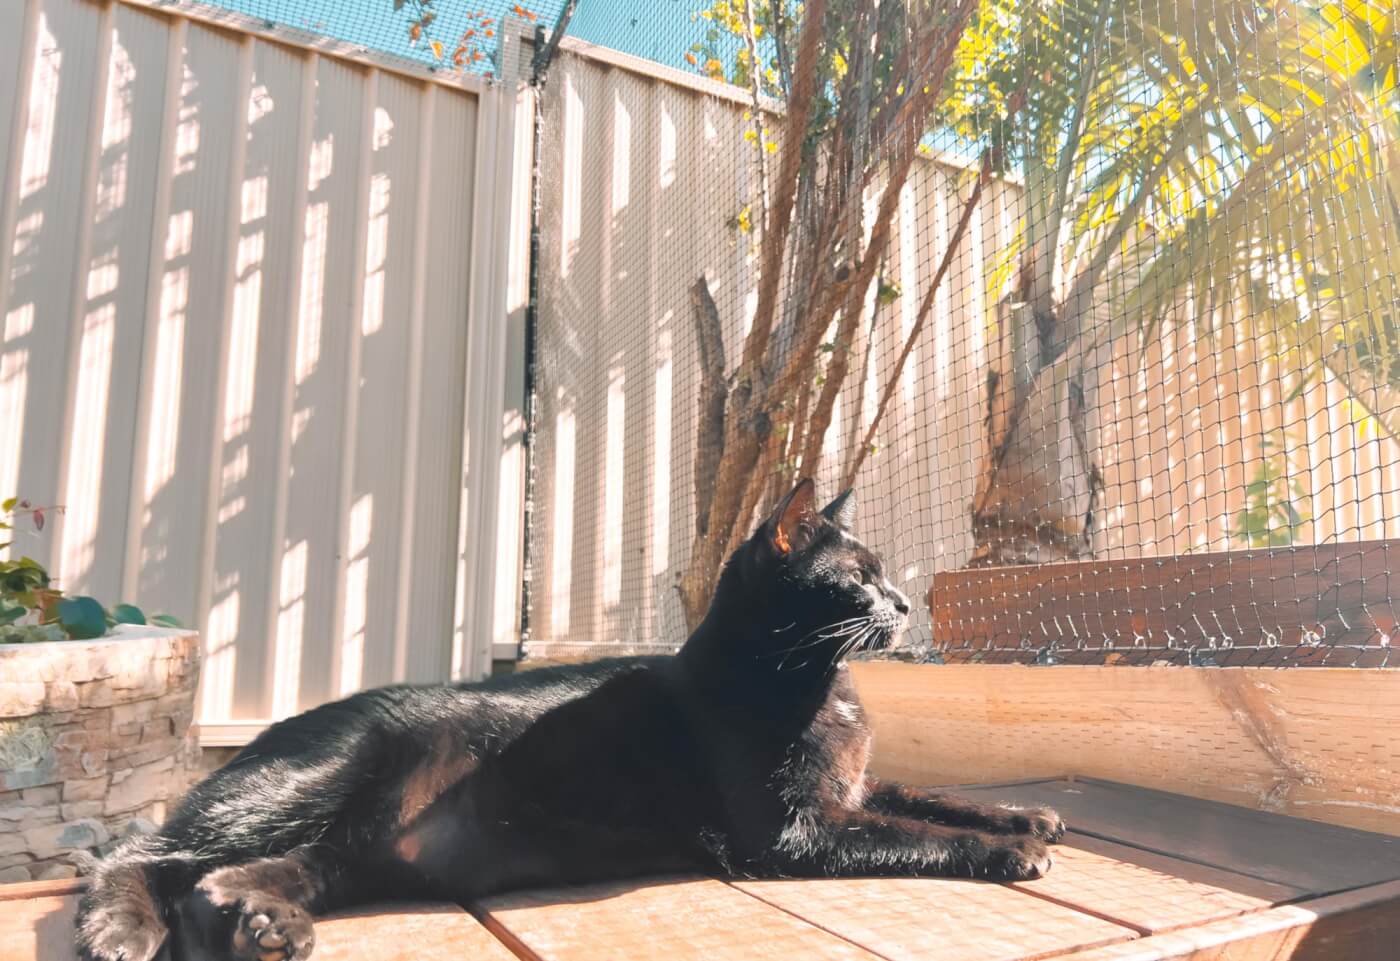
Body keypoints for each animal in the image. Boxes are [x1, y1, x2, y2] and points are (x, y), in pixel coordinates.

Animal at [79, 481, 1058, 961]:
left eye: (886, 576)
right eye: (860, 578)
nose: (903, 602)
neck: (822, 683)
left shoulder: (846, 789)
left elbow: (929, 796)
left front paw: (1026, 815)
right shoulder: (793, 831)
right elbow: (911, 832)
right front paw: (1008, 850)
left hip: (342, 851)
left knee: (219, 881)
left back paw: (267, 928)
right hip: (313, 779)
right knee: (135, 851)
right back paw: (123, 930)